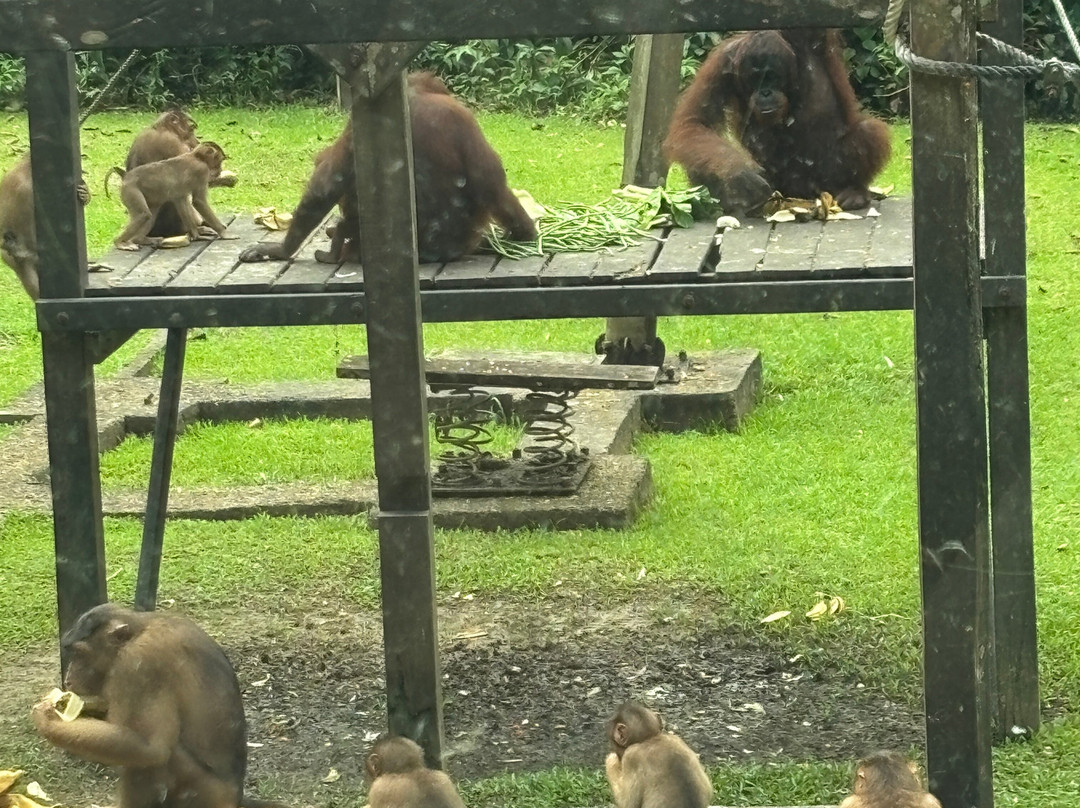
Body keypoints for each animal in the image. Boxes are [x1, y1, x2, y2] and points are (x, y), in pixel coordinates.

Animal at [31, 603, 287, 808]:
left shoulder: (139, 665)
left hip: (204, 796)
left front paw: (48, 721)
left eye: (80, 654)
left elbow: (148, 746)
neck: (137, 632)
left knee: (152, 761)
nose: (69, 676)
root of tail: (235, 799)